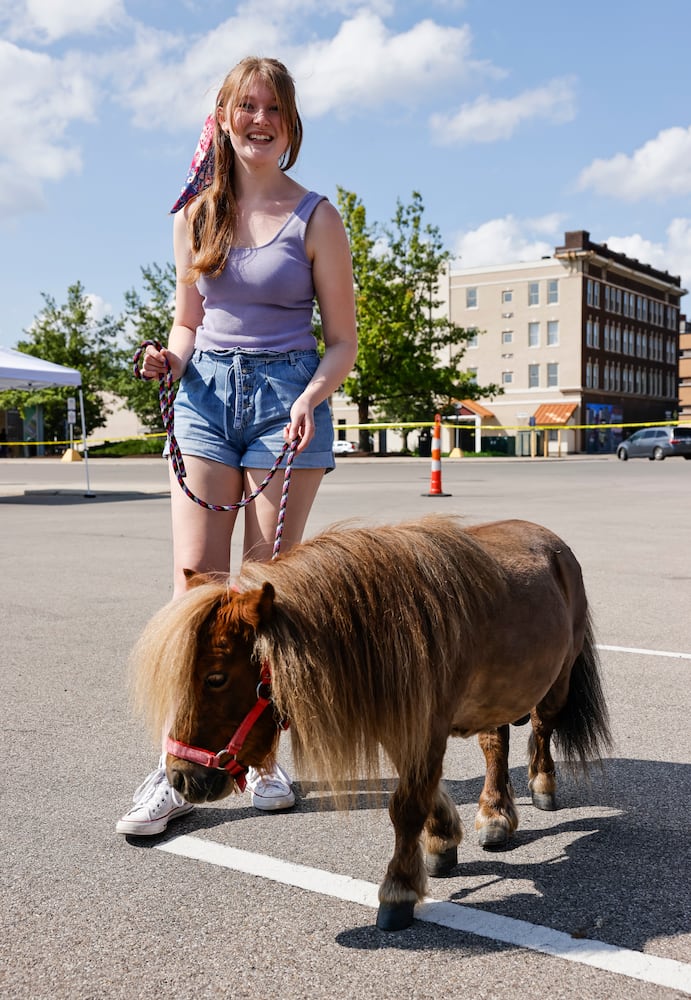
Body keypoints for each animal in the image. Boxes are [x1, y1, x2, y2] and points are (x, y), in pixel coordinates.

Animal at [131, 520, 612, 932]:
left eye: (215, 677)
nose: (181, 776)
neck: (397, 625)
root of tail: (553, 544)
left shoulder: (424, 728)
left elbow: (407, 805)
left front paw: (398, 889)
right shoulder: (404, 726)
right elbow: (425, 793)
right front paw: (442, 840)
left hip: (557, 683)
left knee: (542, 727)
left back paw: (541, 784)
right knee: (496, 743)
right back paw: (494, 814)